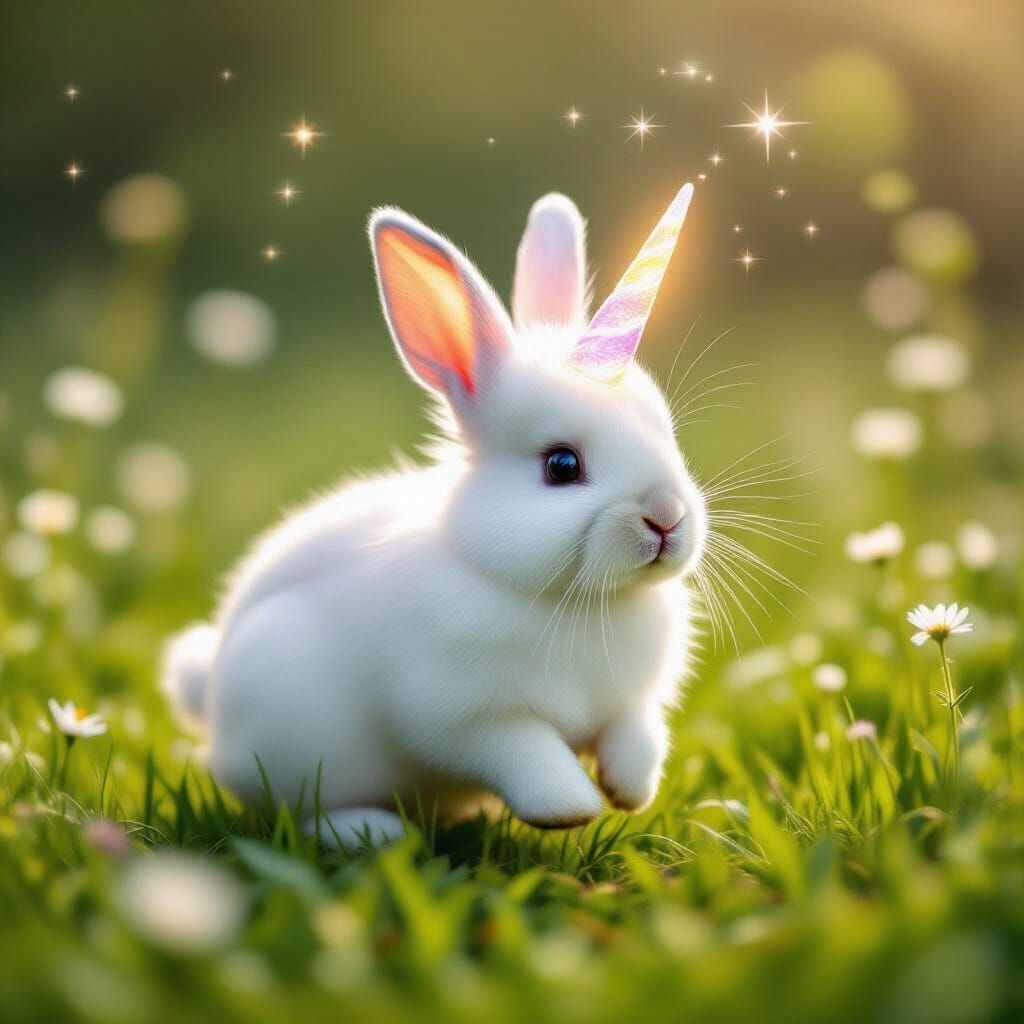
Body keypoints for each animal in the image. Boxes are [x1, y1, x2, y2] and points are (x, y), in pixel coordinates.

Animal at [162, 183, 706, 850]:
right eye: (561, 465)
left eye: (667, 435)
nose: (666, 516)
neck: (580, 602)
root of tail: (208, 689)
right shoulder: (470, 719)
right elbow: (526, 753)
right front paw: (570, 808)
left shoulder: (631, 705)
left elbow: (636, 735)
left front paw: (629, 792)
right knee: (304, 811)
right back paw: (374, 832)